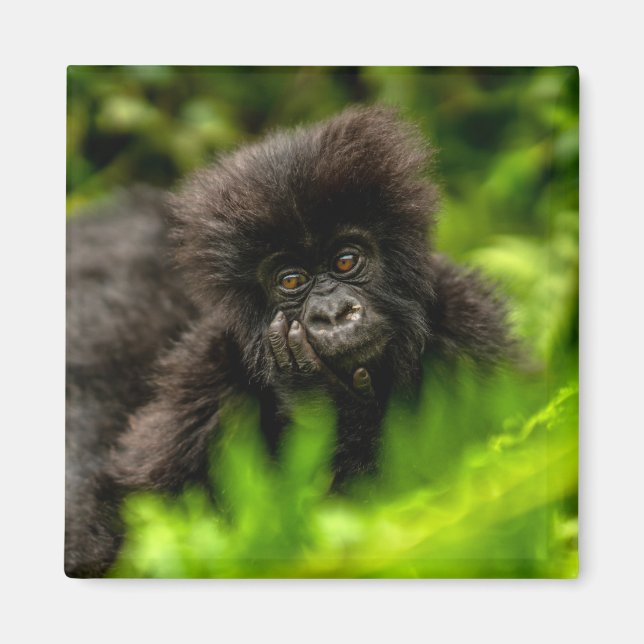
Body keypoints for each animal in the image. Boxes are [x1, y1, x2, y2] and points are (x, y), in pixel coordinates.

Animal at [65, 105, 511, 577]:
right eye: (292, 280)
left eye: (346, 260)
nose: (332, 314)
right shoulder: (205, 374)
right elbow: (140, 511)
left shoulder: (471, 325)